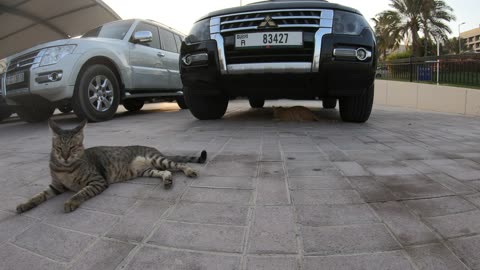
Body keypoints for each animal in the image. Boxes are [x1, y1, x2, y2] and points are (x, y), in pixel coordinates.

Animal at [14, 119, 206, 213]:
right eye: (59, 148)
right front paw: (25, 204)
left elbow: (81, 192)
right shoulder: (56, 186)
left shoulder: (97, 181)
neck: (65, 169)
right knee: (166, 172)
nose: (65, 156)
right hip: (148, 170)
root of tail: (157, 150)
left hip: (157, 159)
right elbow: (39, 195)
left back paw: (190, 171)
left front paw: (71, 201)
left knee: (179, 163)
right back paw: (167, 181)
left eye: (73, 148)